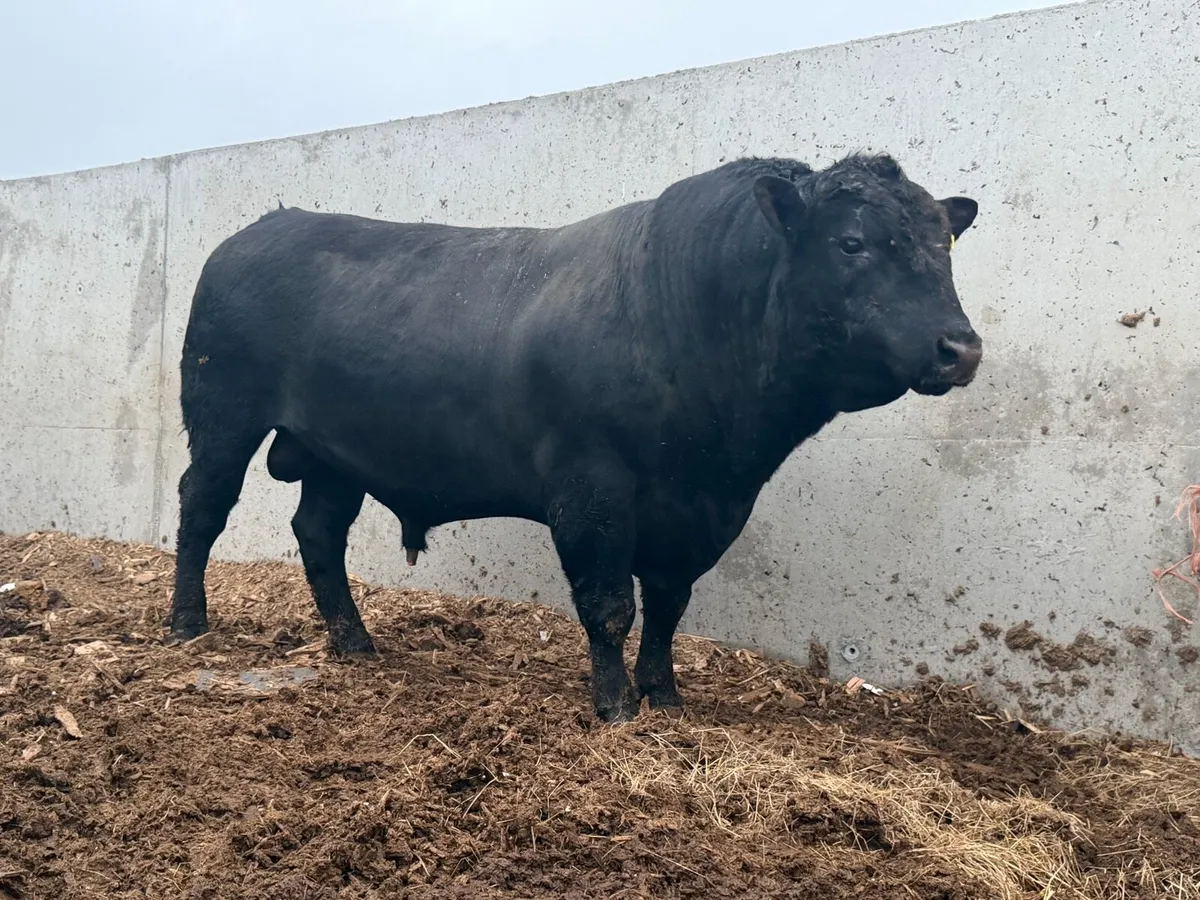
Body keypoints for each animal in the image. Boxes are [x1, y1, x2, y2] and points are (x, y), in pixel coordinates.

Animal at [166, 153, 982, 722]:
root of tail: (262, 227)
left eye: (944, 245)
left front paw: (665, 696)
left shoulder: (703, 508)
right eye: (852, 243)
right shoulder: (593, 488)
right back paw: (186, 623)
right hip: (222, 414)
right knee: (202, 508)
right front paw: (616, 706)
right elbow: (609, 603)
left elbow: (669, 605)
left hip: (338, 452)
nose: (961, 348)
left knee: (318, 531)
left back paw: (354, 642)